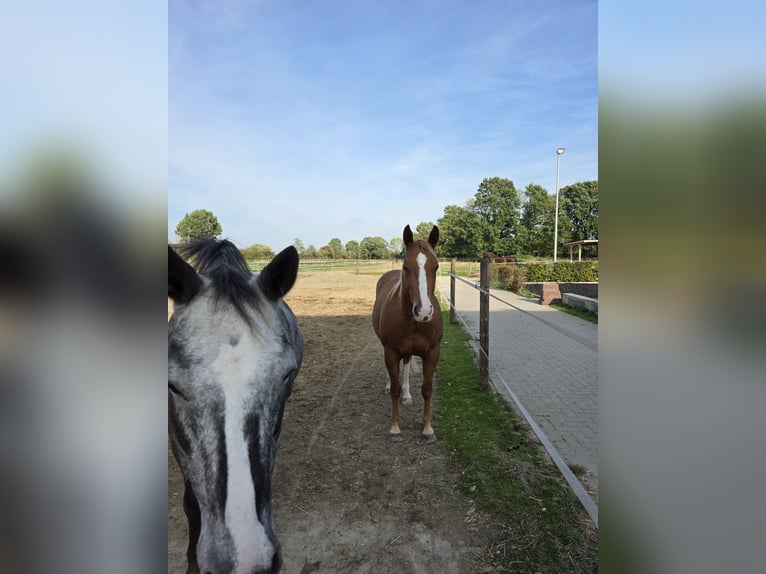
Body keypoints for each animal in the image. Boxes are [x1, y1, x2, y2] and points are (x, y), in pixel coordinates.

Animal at [372, 224, 443, 443]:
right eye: (406, 267)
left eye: (436, 267)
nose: (424, 312)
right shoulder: (391, 351)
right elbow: (394, 389)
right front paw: (395, 428)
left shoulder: (432, 353)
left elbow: (427, 389)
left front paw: (428, 429)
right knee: (393, 375)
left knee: (405, 365)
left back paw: (407, 394)